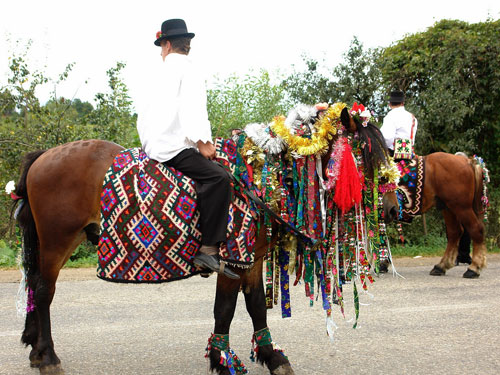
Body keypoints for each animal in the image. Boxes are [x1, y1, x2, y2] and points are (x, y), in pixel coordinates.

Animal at [10, 107, 398, 374]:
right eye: (365, 150)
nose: (394, 208)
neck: (258, 175)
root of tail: (43, 156)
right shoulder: (232, 257)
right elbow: (224, 309)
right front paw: (221, 359)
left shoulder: (252, 258)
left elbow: (256, 306)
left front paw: (271, 356)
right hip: (58, 239)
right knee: (43, 291)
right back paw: (49, 356)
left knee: (37, 289)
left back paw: (37, 350)